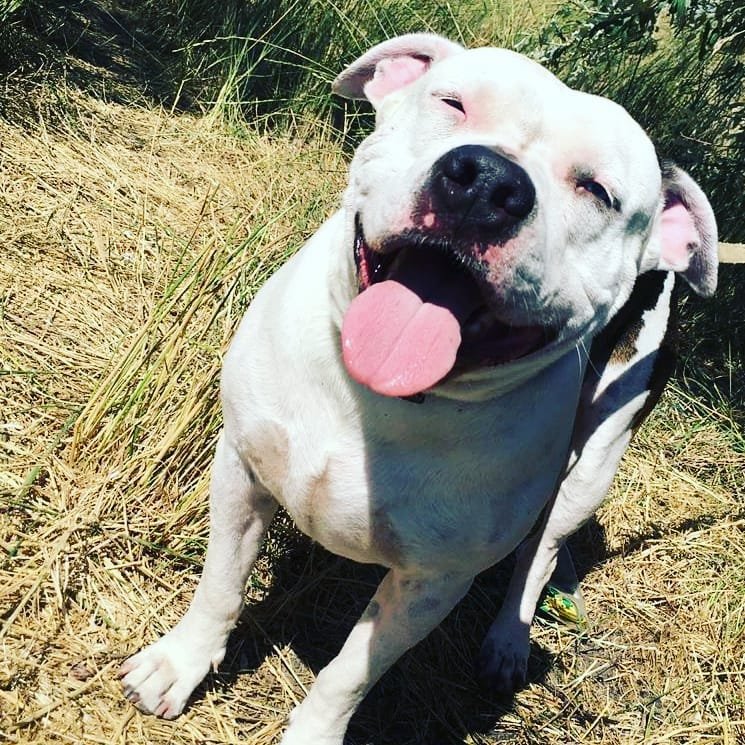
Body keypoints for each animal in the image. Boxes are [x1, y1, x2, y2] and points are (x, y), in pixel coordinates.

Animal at [119, 32, 716, 740]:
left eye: (597, 190)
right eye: (452, 102)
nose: (489, 181)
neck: (379, 399)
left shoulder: (433, 582)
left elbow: (349, 674)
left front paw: (313, 731)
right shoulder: (241, 467)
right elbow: (220, 584)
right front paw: (179, 664)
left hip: (597, 458)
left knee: (539, 552)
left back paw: (510, 638)